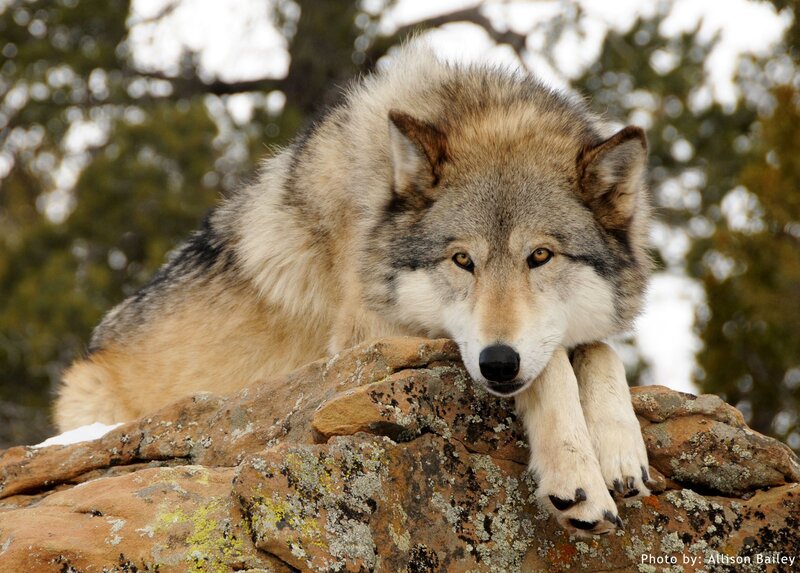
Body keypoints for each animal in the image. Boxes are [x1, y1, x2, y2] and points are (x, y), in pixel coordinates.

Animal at [55, 43, 653, 536]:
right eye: (462, 260)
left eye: (540, 256)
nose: (498, 363)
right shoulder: (371, 335)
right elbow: (553, 368)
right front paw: (578, 477)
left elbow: (600, 350)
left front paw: (621, 453)